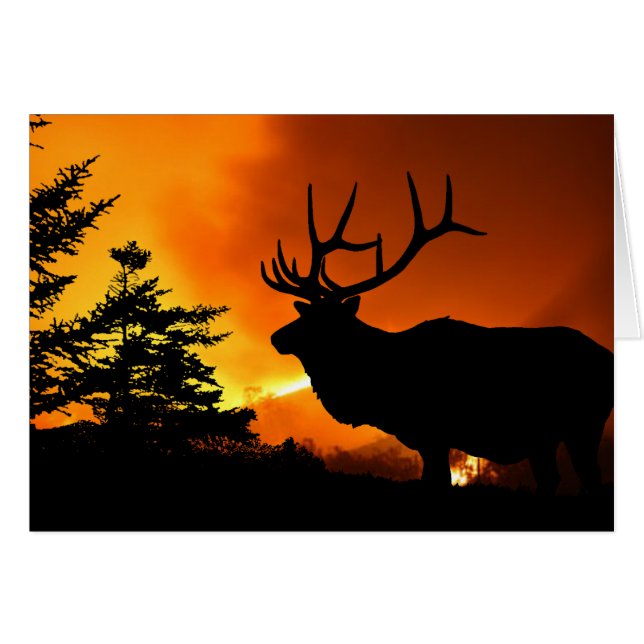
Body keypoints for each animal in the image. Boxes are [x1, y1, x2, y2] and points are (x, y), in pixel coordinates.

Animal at [261, 173, 614, 494]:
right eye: (305, 312)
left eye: (321, 321)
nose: (275, 337)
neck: (376, 390)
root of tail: (607, 356)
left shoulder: (434, 433)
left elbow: (438, 482)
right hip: (545, 438)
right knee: (551, 479)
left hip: (584, 423)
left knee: (590, 478)